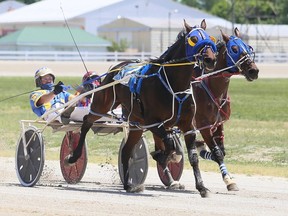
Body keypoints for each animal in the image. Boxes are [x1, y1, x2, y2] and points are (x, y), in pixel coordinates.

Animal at [64, 20, 217, 197]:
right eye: (193, 39)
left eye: (209, 37)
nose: (210, 59)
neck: (172, 84)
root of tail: (117, 66)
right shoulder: (153, 123)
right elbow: (169, 144)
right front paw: (162, 156)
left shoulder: (187, 126)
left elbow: (192, 157)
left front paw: (201, 187)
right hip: (103, 104)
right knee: (87, 121)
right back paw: (73, 157)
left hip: (136, 125)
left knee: (126, 151)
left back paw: (129, 185)